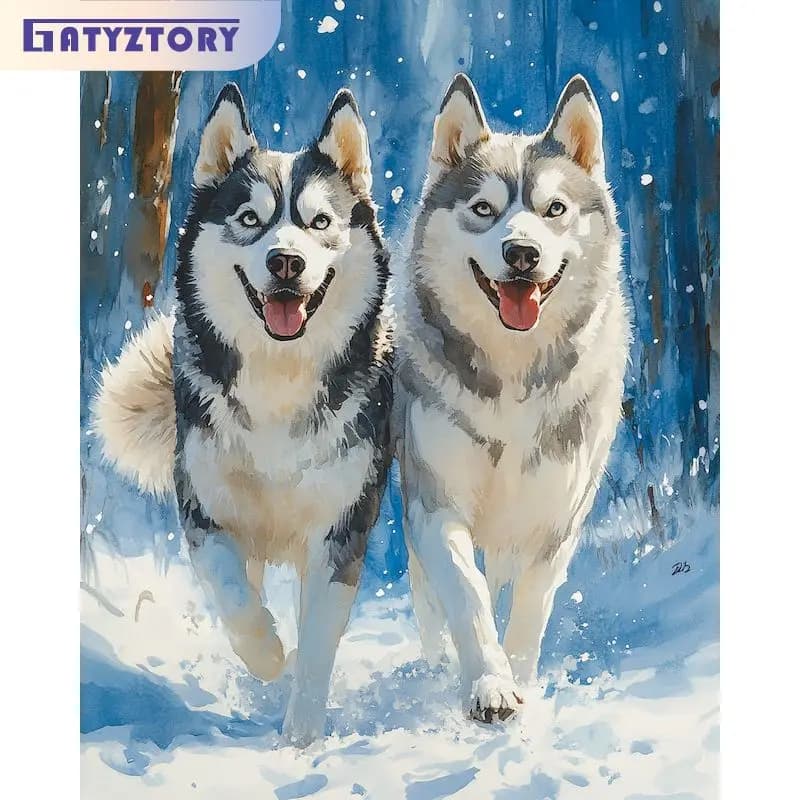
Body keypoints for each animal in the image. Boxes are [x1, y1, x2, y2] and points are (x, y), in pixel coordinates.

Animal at [93, 83, 393, 745]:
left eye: (320, 222)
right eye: (250, 219)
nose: (286, 262)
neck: (278, 381)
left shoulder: (341, 526)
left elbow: (318, 643)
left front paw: (300, 737)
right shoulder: (206, 508)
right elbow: (233, 596)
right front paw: (266, 656)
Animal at [394, 73, 629, 722]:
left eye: (555, 209)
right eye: (484, 209)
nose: (522, 253)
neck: (512, 381)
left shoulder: (555, 522)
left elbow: (528, 611)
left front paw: (519, 680)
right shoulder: (436, 507)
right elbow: (468, 597)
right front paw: (489, 686)